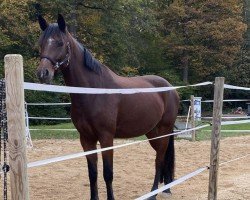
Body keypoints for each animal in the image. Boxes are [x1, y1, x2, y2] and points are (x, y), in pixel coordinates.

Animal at [36, 14, 179, 199]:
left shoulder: (106, 138)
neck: (94, 92)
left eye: (60, 42)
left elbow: (108, 173)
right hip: (152, 132)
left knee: (159, 160)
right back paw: (165, 188)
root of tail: (170, 88)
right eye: (41, 43)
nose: (43, 73)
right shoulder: (86, 139)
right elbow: (92, 173)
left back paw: (154, 193)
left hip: (163, 131)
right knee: (161, 158)